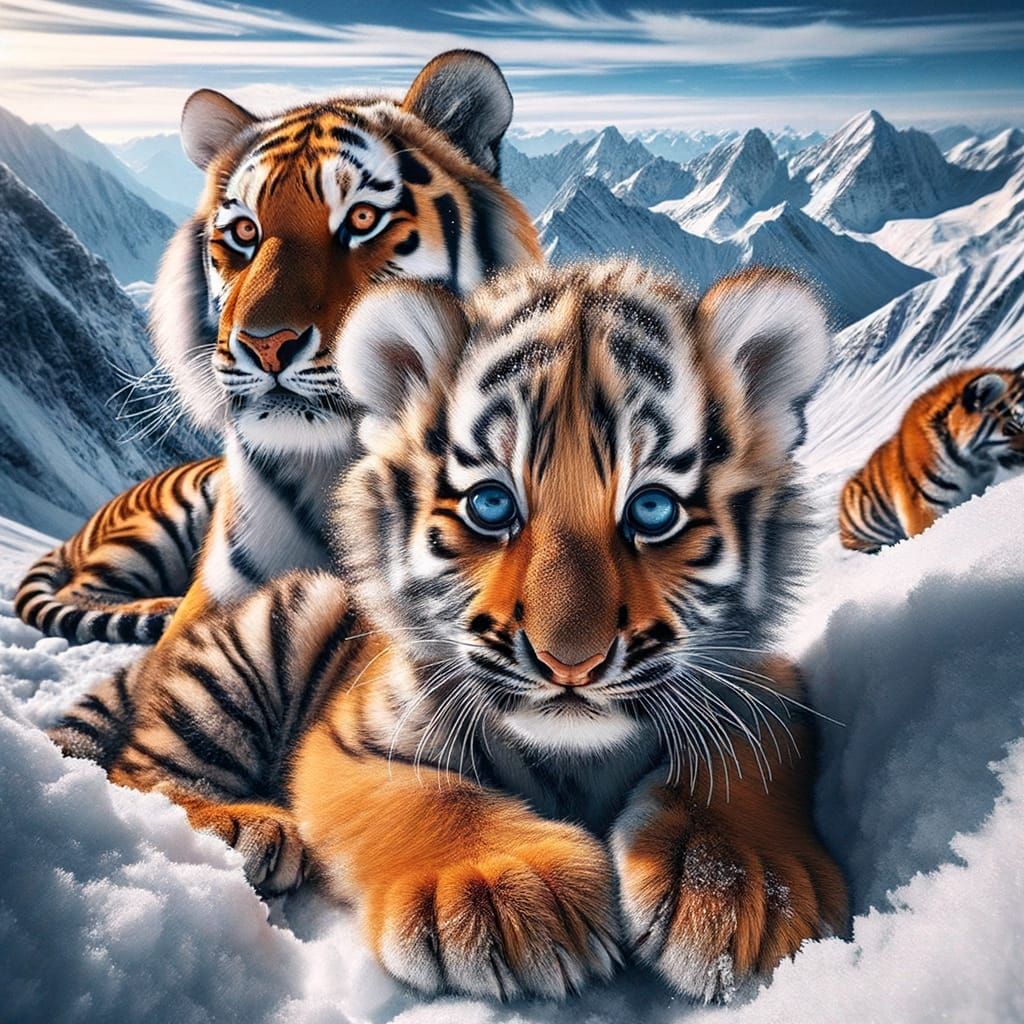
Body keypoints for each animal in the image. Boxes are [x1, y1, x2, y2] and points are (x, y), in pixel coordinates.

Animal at [50, 260, 848, 1002]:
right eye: (491, 505)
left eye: (652, 511)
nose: (570, 662)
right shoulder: (352, 733)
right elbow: (427, 795)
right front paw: (503, 892)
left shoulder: (767, 684)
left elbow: (741, 756)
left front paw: (743, 886)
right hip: (270, 632)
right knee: (142, 771)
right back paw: (248, 827)